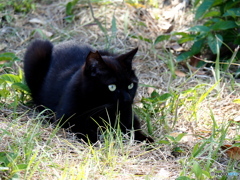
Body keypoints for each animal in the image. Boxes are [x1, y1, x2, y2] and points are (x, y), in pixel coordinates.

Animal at [23, 40, 153, 143]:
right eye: (112, 87)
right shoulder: (64, 118)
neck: (99, 108)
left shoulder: (129, 116)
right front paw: (94, 139)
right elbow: (81, 127)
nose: (127, 99)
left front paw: (146, 139)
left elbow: (134, 128)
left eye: (130, 85)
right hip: (37, 48)